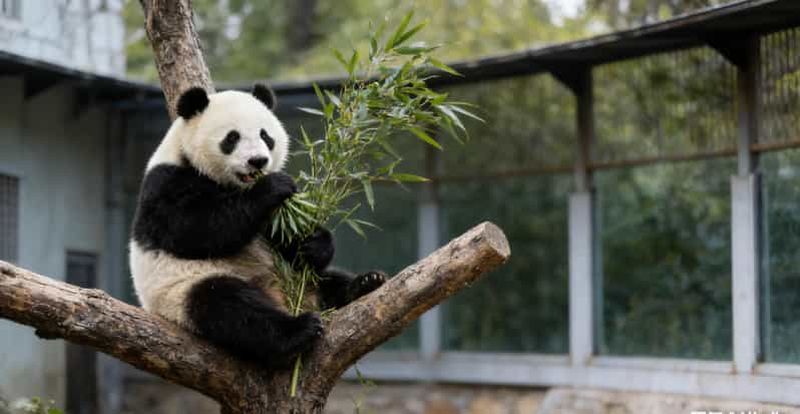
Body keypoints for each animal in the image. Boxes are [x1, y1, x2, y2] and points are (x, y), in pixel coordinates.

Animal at [129, 84, 386, 368]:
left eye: (265, 135)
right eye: (232, 138)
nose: (258, 161)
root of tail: (284, 298)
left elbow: (288, 235)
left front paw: (313, 243)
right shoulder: (166, 184)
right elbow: (194, 229)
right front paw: (272, 186)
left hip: (300, 278)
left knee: (328, 280)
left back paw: (365, 284)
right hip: (181, 292)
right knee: (232, 307)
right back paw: (299, 330)